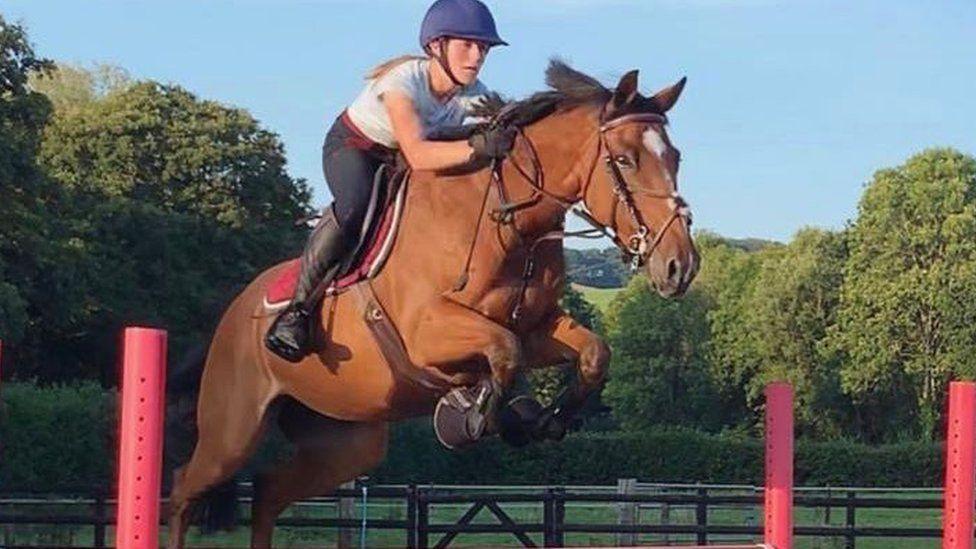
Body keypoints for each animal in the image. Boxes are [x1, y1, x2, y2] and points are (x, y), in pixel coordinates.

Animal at [170, 60, 700, 548]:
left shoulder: (538, 327)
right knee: (183, 492)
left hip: (344, 439)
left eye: (674, 156)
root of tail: (231, 313)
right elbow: (502, 350)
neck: (505, 224)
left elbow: (591, 352)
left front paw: (546, 419)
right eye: (626, 160)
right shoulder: (429, 333)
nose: (681, 266)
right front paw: (478, 418)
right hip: (232, 430)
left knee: (267, 492)